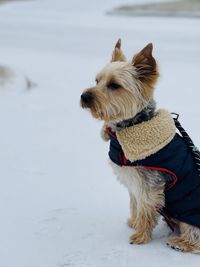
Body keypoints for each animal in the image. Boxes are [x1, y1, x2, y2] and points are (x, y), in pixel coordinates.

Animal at [80, 39, 200, 253]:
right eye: (96, 81)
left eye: (114, 85)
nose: (84, 96)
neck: (132, 125)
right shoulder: (134, 181)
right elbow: (135, 204)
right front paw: (134, 223)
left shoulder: (149, 184)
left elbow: (145, 208)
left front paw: (140, 236)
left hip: (189, 212)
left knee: (195, 236)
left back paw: (181, 243)